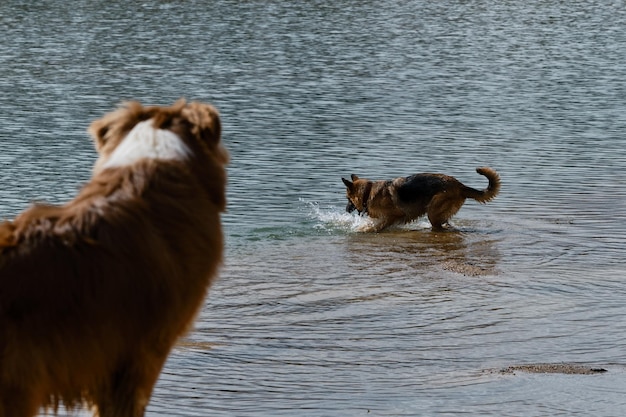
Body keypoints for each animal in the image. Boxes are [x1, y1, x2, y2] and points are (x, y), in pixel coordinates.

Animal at [342, 166, 498, 231]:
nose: (346, 210)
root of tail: (460, 185)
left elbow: (378, 226)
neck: (368, 192)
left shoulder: (394, 215)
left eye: (348, 199)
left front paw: (365, 230)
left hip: (433, 211)